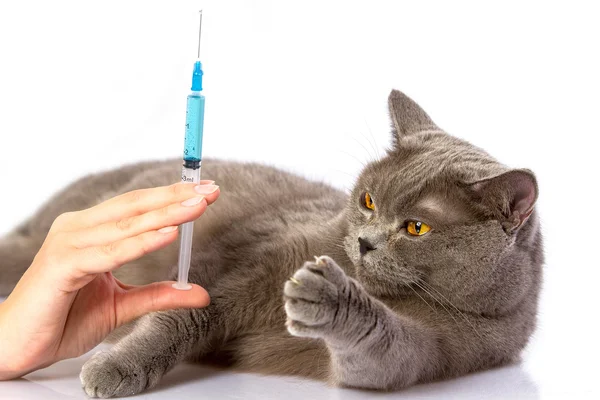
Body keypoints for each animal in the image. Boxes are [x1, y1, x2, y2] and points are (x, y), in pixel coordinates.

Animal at [0, 90, 544, 396]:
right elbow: (185, 315)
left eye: (416, 228)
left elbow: (380, 348)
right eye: (368, 200)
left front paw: (331, 298)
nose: (364, 243)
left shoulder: (441, 348)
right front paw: (116, 367)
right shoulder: (250, 258)